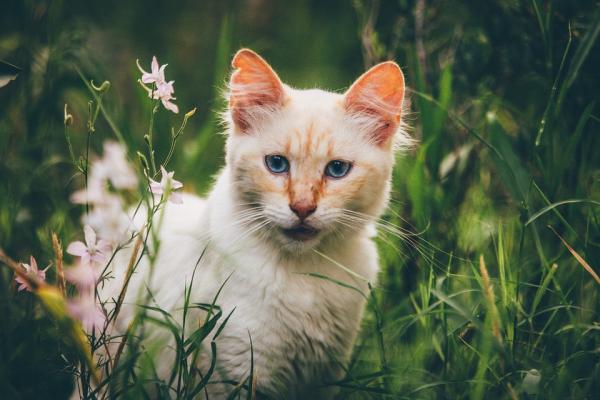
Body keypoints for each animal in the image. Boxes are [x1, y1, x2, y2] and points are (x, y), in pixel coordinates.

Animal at [104, 48, 412, 398]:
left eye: (337, 170)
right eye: (277, 164)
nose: (302, 208)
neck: (303, 275)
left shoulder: (325, 376)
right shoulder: (236, 372)